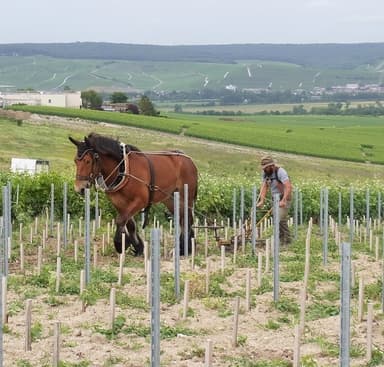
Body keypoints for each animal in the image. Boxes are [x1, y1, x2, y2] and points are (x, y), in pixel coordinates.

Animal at [68, 132, 198, 256]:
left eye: (88, 161)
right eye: (75, 160)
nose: (79, 188)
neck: (122, 169)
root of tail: (189, 161)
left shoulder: (141, 201)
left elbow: (121, 220)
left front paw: (119, 244)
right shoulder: (119, 202)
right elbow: (129, 223)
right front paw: (137, 246)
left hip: (185, 197)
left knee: (187, 220)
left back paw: (185, 248)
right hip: (170, 199)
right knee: (182, 219)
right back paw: (185, 246)